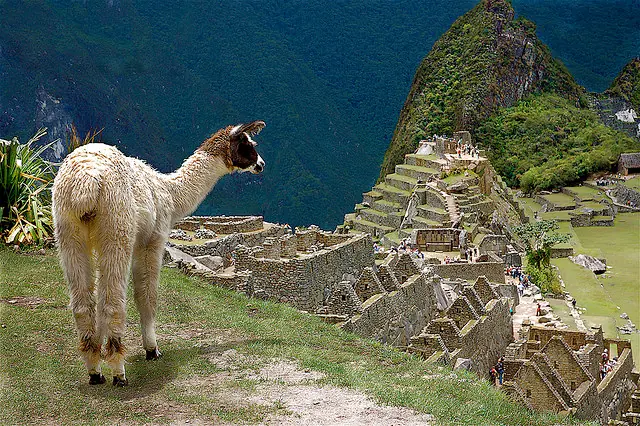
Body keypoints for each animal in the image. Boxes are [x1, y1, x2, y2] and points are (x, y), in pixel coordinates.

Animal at [52, 121, 265, 386]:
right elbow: (147, 296)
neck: (170, 192)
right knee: (112, 302)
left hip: (68, 230)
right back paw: (119, 372)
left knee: (83, 304)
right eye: (248, 144)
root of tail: (85, 181)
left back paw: (94, 370)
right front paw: (152, 349)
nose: (261, 164)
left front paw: (100, 353)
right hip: (117, 225)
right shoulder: (152, 240)